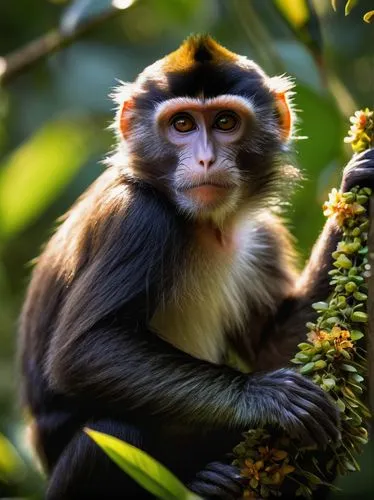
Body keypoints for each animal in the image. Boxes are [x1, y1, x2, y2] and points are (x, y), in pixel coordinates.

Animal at [19, 36, 374, 500]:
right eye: (183, 125)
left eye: (225, 122)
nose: (206, 159)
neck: (204, 225)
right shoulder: (137, 218)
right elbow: (83, 352)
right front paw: (265, 396)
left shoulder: (260, 235)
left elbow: (275, 346)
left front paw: (357, 182)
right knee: (112, 433)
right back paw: (205, 481)